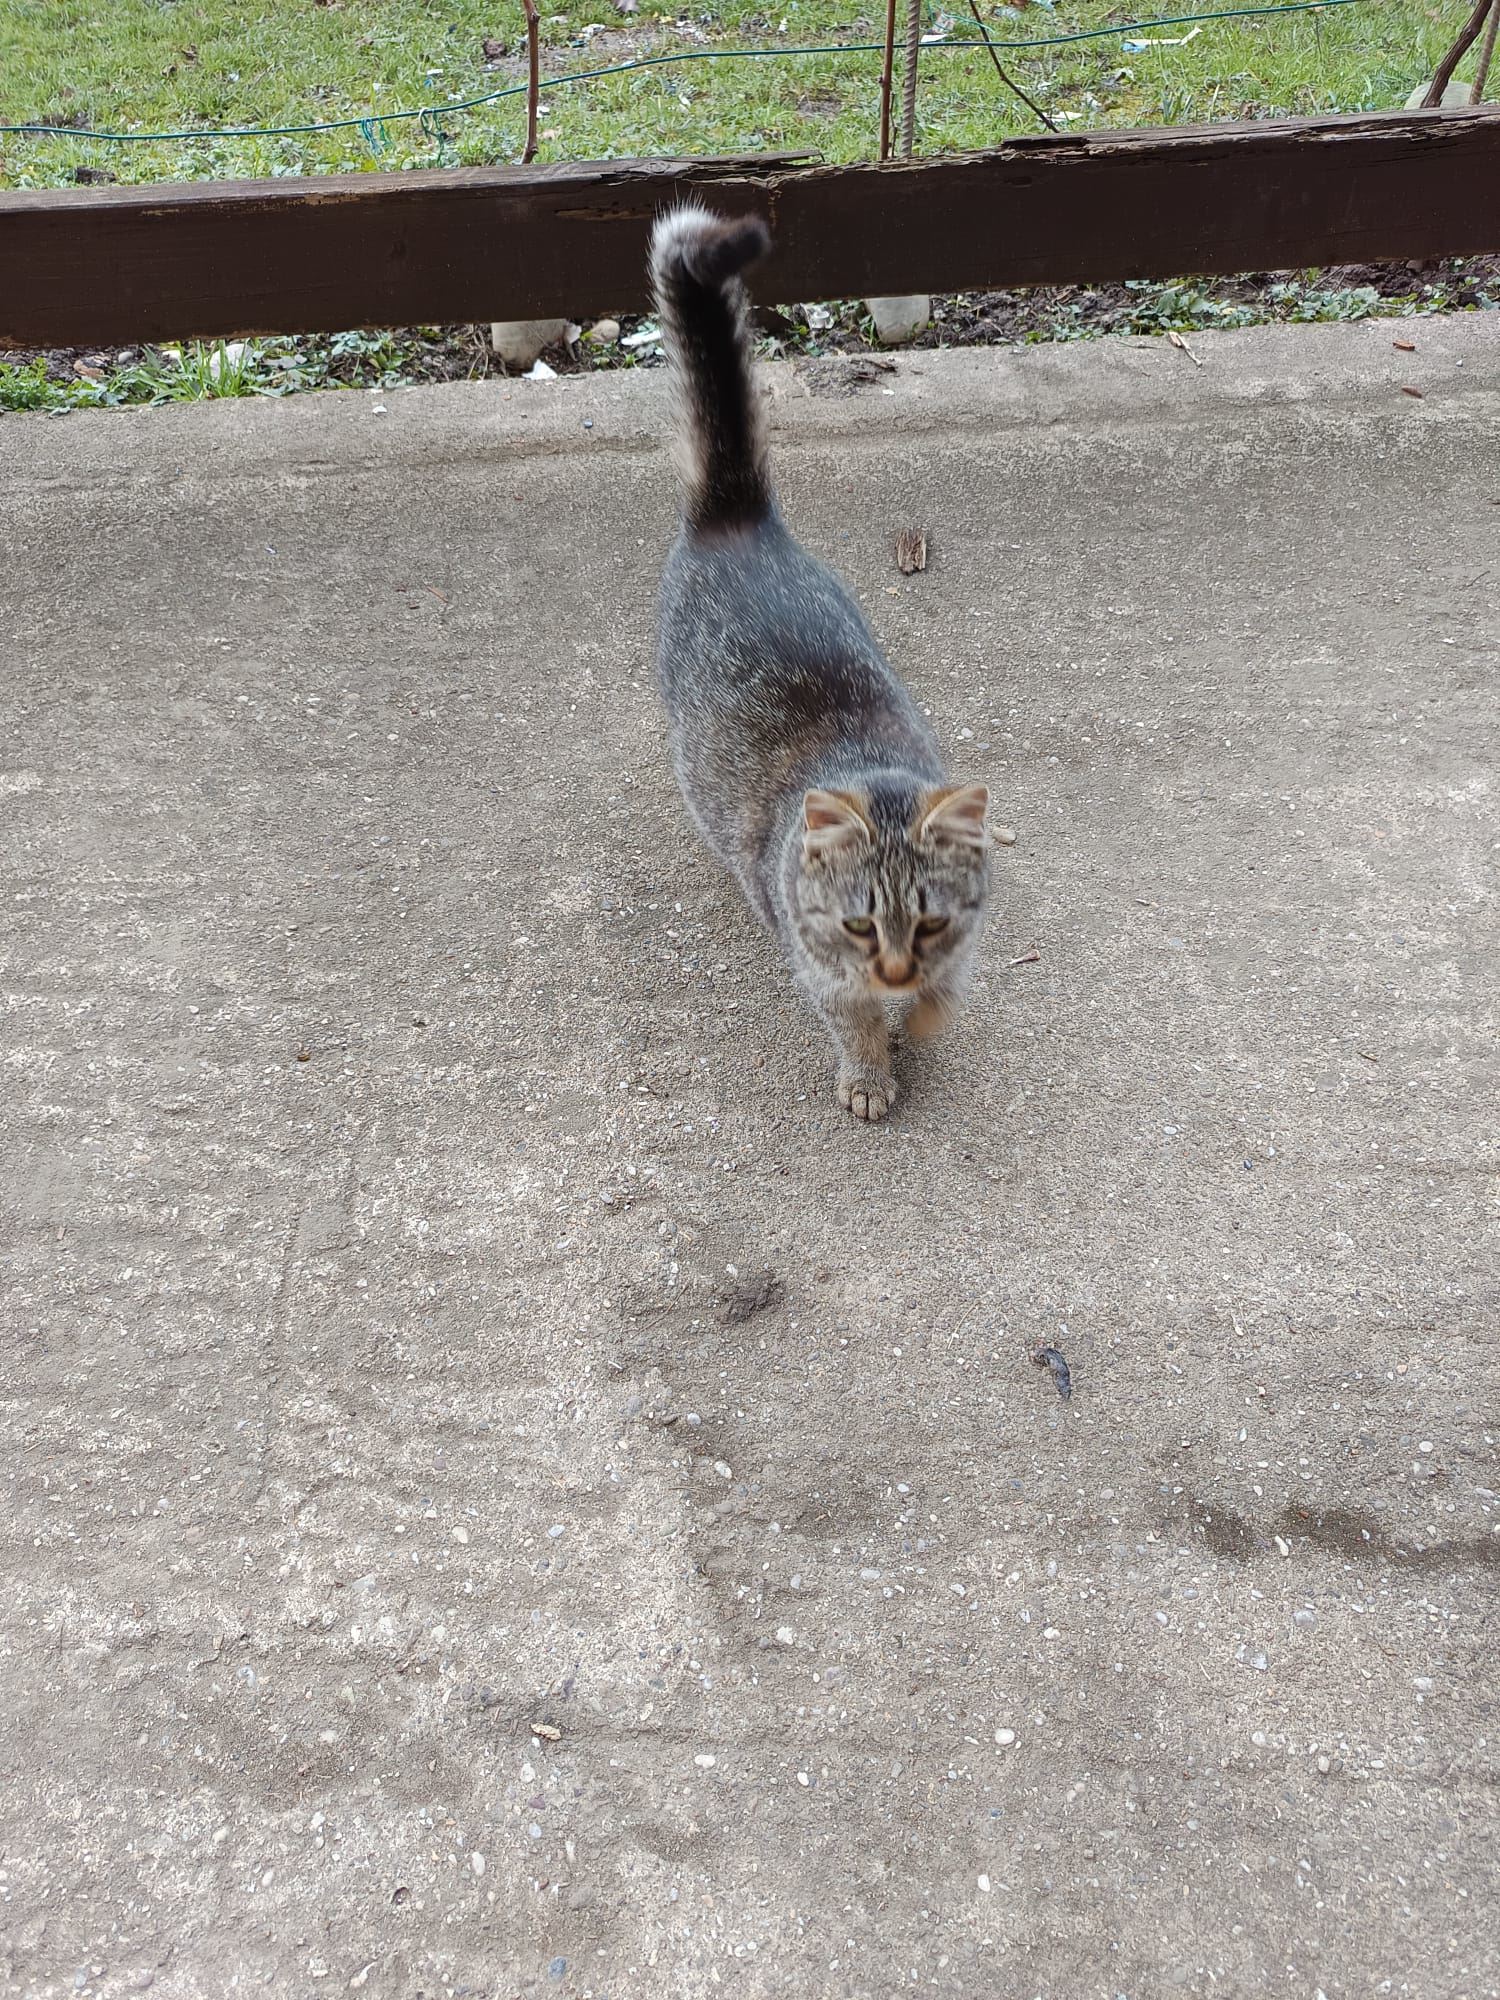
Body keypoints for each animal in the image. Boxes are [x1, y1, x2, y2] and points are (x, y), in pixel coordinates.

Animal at [650, 204, 1006, 1122]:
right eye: (857, 925)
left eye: (927, 923)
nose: (895, 968)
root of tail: (737, 517)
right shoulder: (822, 969)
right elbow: (852, 1020)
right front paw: (871, 1072)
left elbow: (946, 989)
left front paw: (926, 1011)